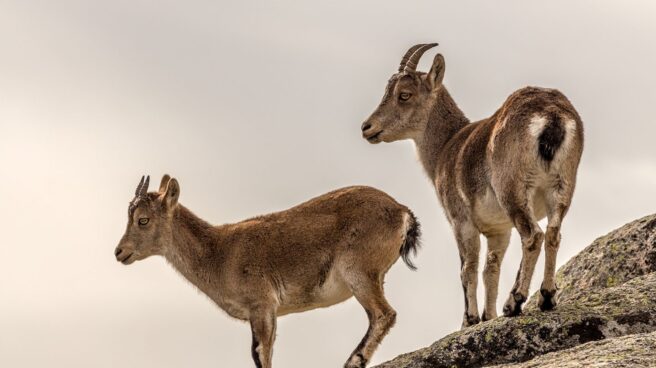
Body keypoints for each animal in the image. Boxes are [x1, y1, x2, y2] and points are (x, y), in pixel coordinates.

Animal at [114, 175, 420, 368]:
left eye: (143, 220)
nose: (119, 252)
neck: (218, 254)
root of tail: (402, 212)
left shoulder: (261, 304)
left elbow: (261, 353)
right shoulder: (268, 311)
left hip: (359, 271)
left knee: (383, 314)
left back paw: (353, 361)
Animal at [364, 43, 584, 328]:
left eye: (404, 95)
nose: (367, 127)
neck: (446, 147)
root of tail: (552, 117)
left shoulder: (461, 220)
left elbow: (467, 268)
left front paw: (469, 319)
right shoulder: (498, 230)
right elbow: (491, 268)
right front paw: (488, 316)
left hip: (513, 191)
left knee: (533, 236)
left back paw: (515, 302)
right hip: (561, 187)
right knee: (553, 234)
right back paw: (546, 297)